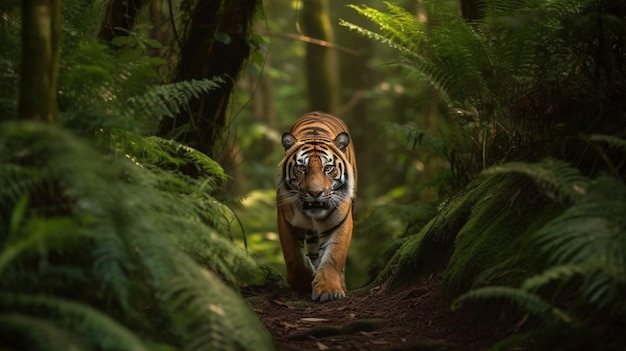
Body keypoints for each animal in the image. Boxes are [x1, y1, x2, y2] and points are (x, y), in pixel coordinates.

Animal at [274, 112, 356, 302]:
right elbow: (294, 258)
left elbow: (334, 257)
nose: (315, 193)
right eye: (301, 168)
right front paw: (304, 283)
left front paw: (329, 290)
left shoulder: (341, 222)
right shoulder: (286, 220)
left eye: (328, 168)